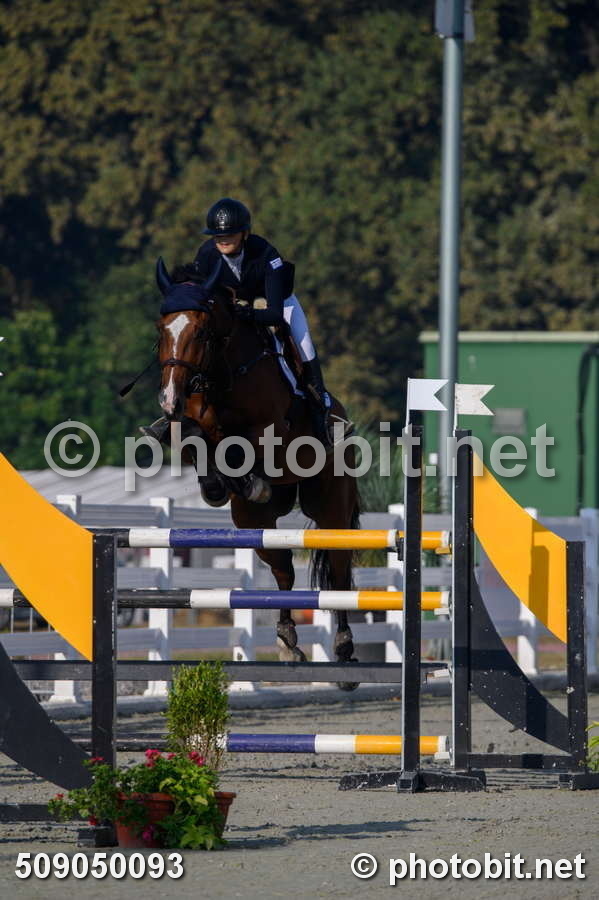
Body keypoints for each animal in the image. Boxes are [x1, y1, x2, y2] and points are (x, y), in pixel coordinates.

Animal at [154, 259, 360, 685]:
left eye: (201, 330)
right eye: (159, 329)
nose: (168, 398)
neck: (221, 373)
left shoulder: (272, 431)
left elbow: (237, 445)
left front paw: (241, 477)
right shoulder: (189, 422)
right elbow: (196, 436)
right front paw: (219, 485)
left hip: (330, 507)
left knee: (339, 572)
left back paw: (344, 650)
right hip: (255, 522)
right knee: (283, 571)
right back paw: (287, 641)